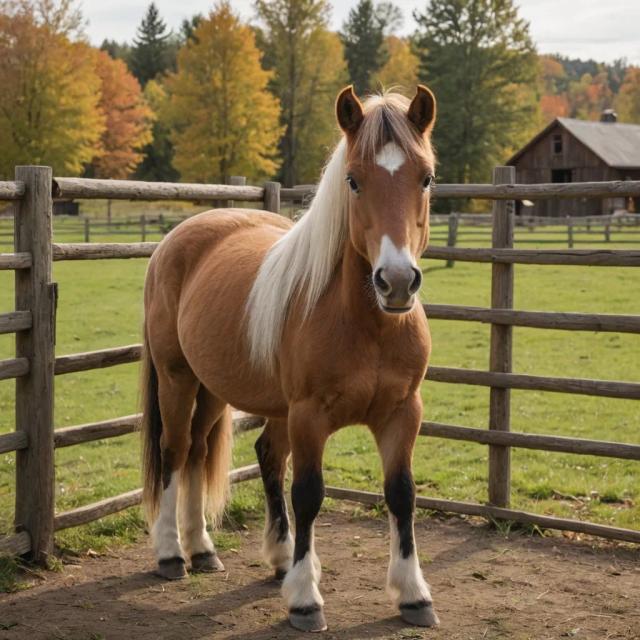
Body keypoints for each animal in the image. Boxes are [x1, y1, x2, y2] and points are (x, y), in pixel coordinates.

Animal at [141, 85, 439, 632]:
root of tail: (178, 237)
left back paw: (210, 549)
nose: (396, 281)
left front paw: (412, 594)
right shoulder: (308, 415)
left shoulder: (403, 412)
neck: (364, 324)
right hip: (178, 379)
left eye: (425, 177)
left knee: (209, 451)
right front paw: (305, 599)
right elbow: (308, 494)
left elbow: (401, 493)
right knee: (175, 450)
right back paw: (172, 553)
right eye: (353, 180)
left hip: (217, 389)